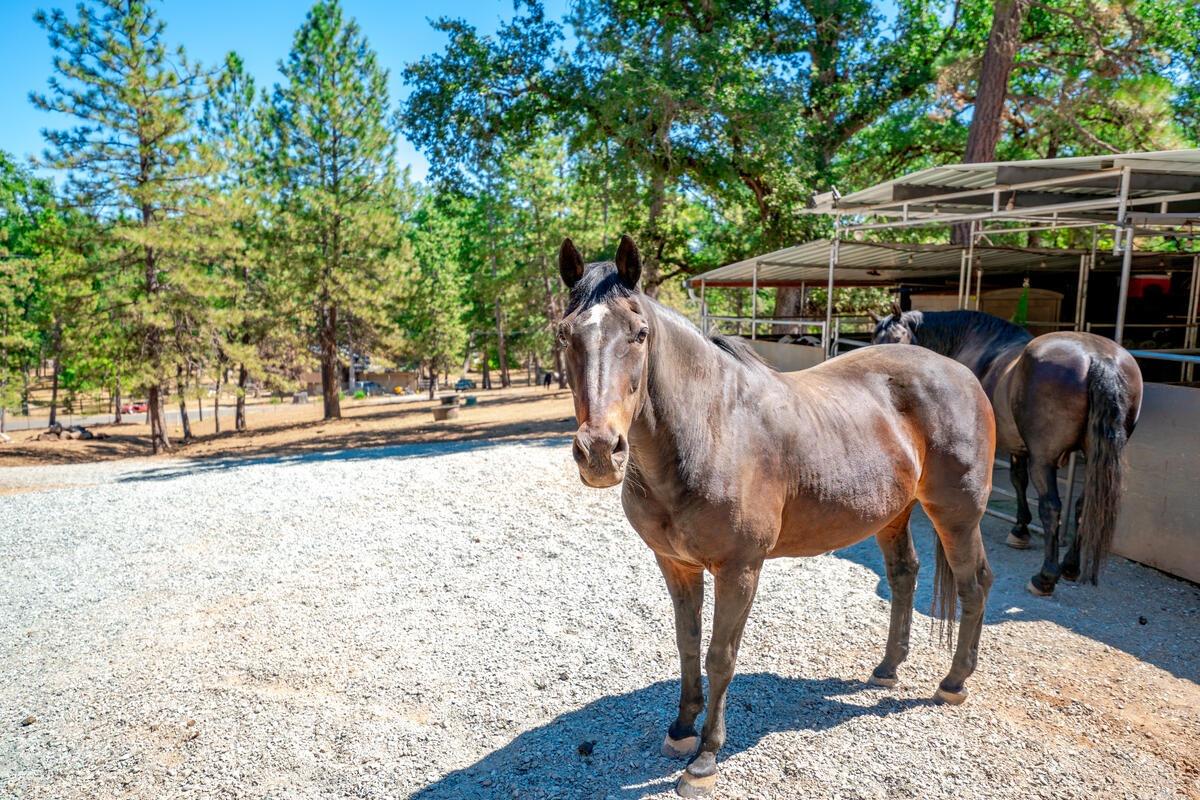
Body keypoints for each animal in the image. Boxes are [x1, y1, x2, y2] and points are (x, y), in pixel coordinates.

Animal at [556, 235, 998, 796]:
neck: (710, 428)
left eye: (639, 334)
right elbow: (687, 645)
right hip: (893, 514)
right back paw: (886, 669)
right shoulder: (675, 565)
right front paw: (681, 729)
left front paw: (704, 758)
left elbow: (720, 656)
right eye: (565, 334)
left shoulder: (740, 569)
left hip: (957, 514)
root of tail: (962, 374)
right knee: (904, 577)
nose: (598, 452)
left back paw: (954, 682)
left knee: (973, 584)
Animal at [873, 304, 1142, 594]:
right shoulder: (1018, 446)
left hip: (1044, 459)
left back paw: (1045, 577)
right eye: (875, 339)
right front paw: (1020, 530)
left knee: (1051, 507)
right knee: (1083, 506)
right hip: (1092, 455)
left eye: (897, 339)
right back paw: (1070, 566)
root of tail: (1098, 357)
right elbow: (1018, 481)